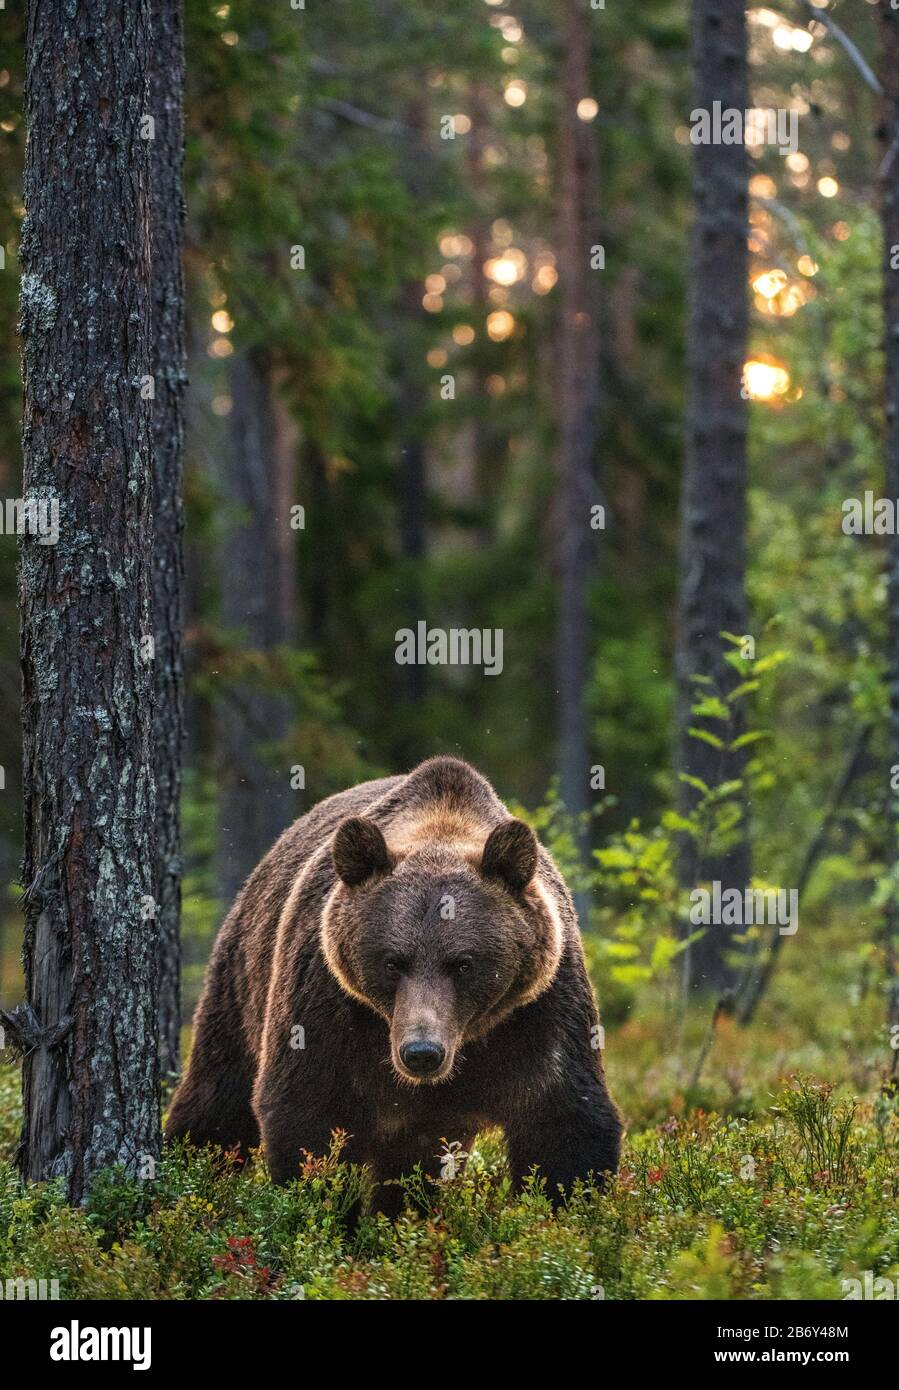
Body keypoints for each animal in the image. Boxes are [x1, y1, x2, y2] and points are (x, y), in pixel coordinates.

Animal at [165, 756, 622, 1212]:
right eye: (392, 962)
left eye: (463, 964)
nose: (421, 1052)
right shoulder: (326, 1003)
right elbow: (310, 1115)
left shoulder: (539, 1007)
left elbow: (564, 1123)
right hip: (240, 979)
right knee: (217, 1099)